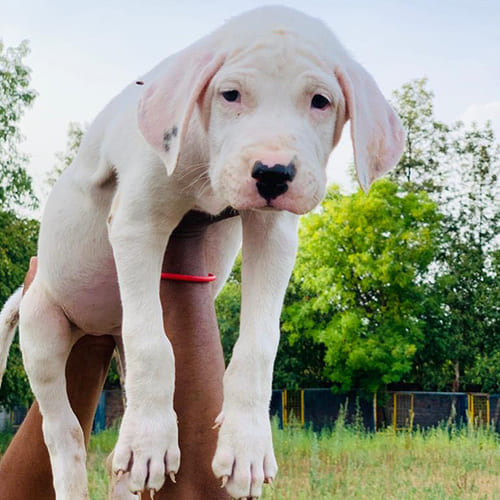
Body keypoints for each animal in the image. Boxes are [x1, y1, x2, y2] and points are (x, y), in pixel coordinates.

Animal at [0, 4, 402, 500]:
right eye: (230, 94)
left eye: (320, 101)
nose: (272, 174)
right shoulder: (138, 221)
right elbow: (152, 342)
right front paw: (151, 441)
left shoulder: (274, 233)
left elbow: (259, 343)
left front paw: (247, 448)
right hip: (43, 326)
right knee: (64, 434)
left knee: (114, 448)